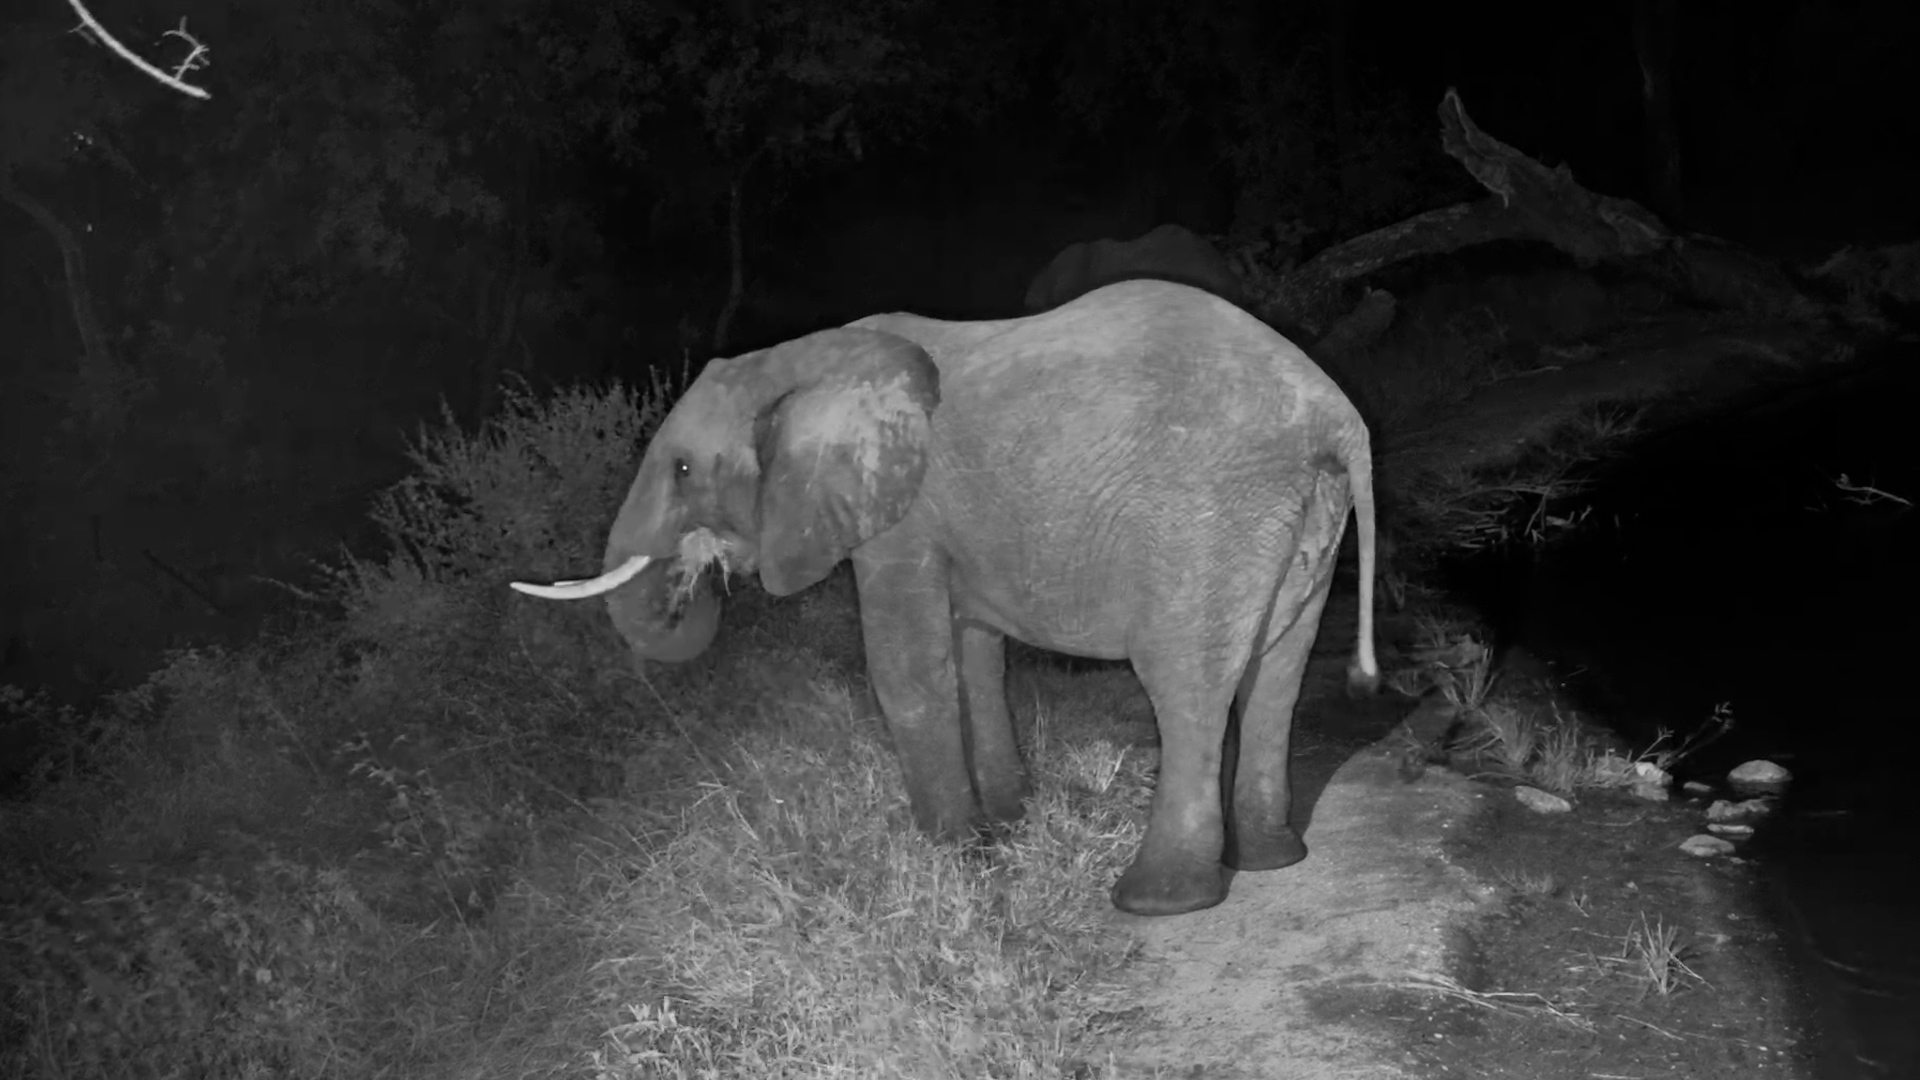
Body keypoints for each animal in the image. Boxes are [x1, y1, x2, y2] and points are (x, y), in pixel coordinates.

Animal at [511, 279, 1379, 916]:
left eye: (686, 469)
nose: (702, 572)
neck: (796, 361)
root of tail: (1336, 417)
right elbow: (975, 658)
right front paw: (1005, 824)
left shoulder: (902, 518)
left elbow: (906, 670)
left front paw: (946, 855)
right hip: (1298, 519)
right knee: (1278, 676)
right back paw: (1271, 860)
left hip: (1201, 517)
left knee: (1184, 684)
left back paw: (1156, 901)